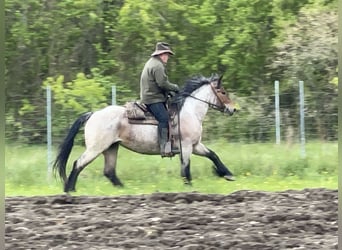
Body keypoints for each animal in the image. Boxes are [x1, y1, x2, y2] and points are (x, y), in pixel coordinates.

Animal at [53, 73, 238, 192]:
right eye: (223, 92)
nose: (233, 109)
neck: (189, 111)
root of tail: (92, 114)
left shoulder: (196, 145)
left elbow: (213, 155)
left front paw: (227, 174)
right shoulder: (186, 146)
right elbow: (186, 168)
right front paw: (190, 187)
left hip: (111, 148)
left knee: (109, 171)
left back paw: (124, 189)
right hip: (96, 148)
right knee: (78, 164)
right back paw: (70, 190)